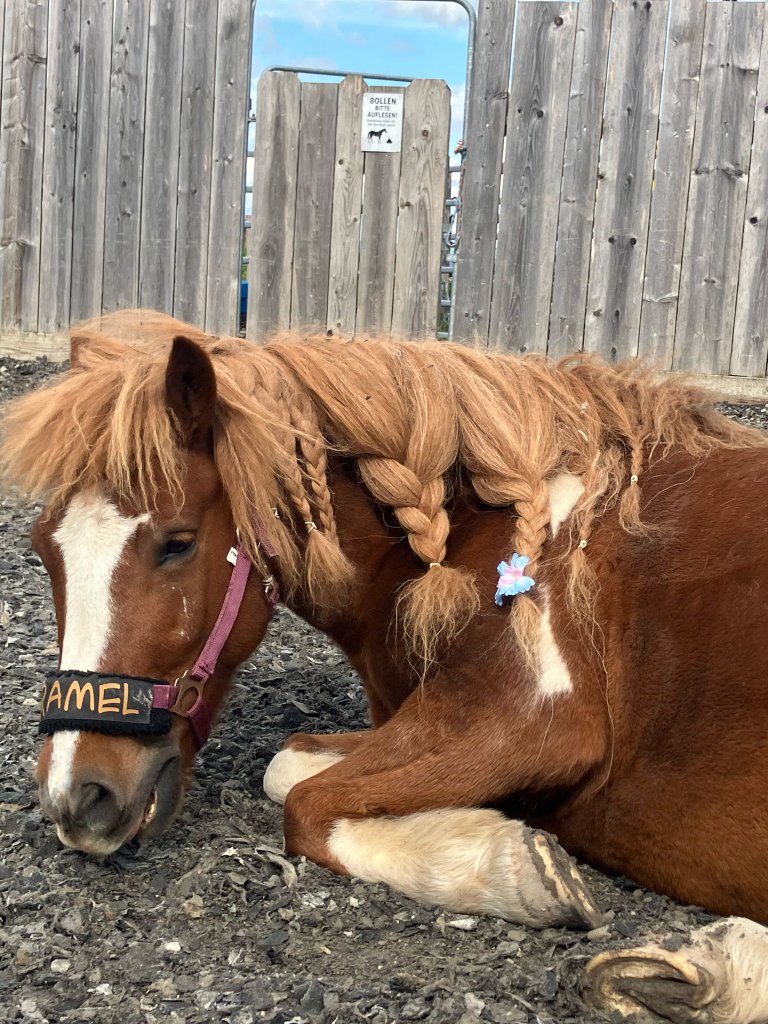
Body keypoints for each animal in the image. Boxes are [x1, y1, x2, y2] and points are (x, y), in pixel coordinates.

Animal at [3, 309, 768, 1024]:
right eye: (42, 546)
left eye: (178, 543)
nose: (77, 797)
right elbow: (287, 765)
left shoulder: (524, 724)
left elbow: (308, 808)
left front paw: (519, 870)